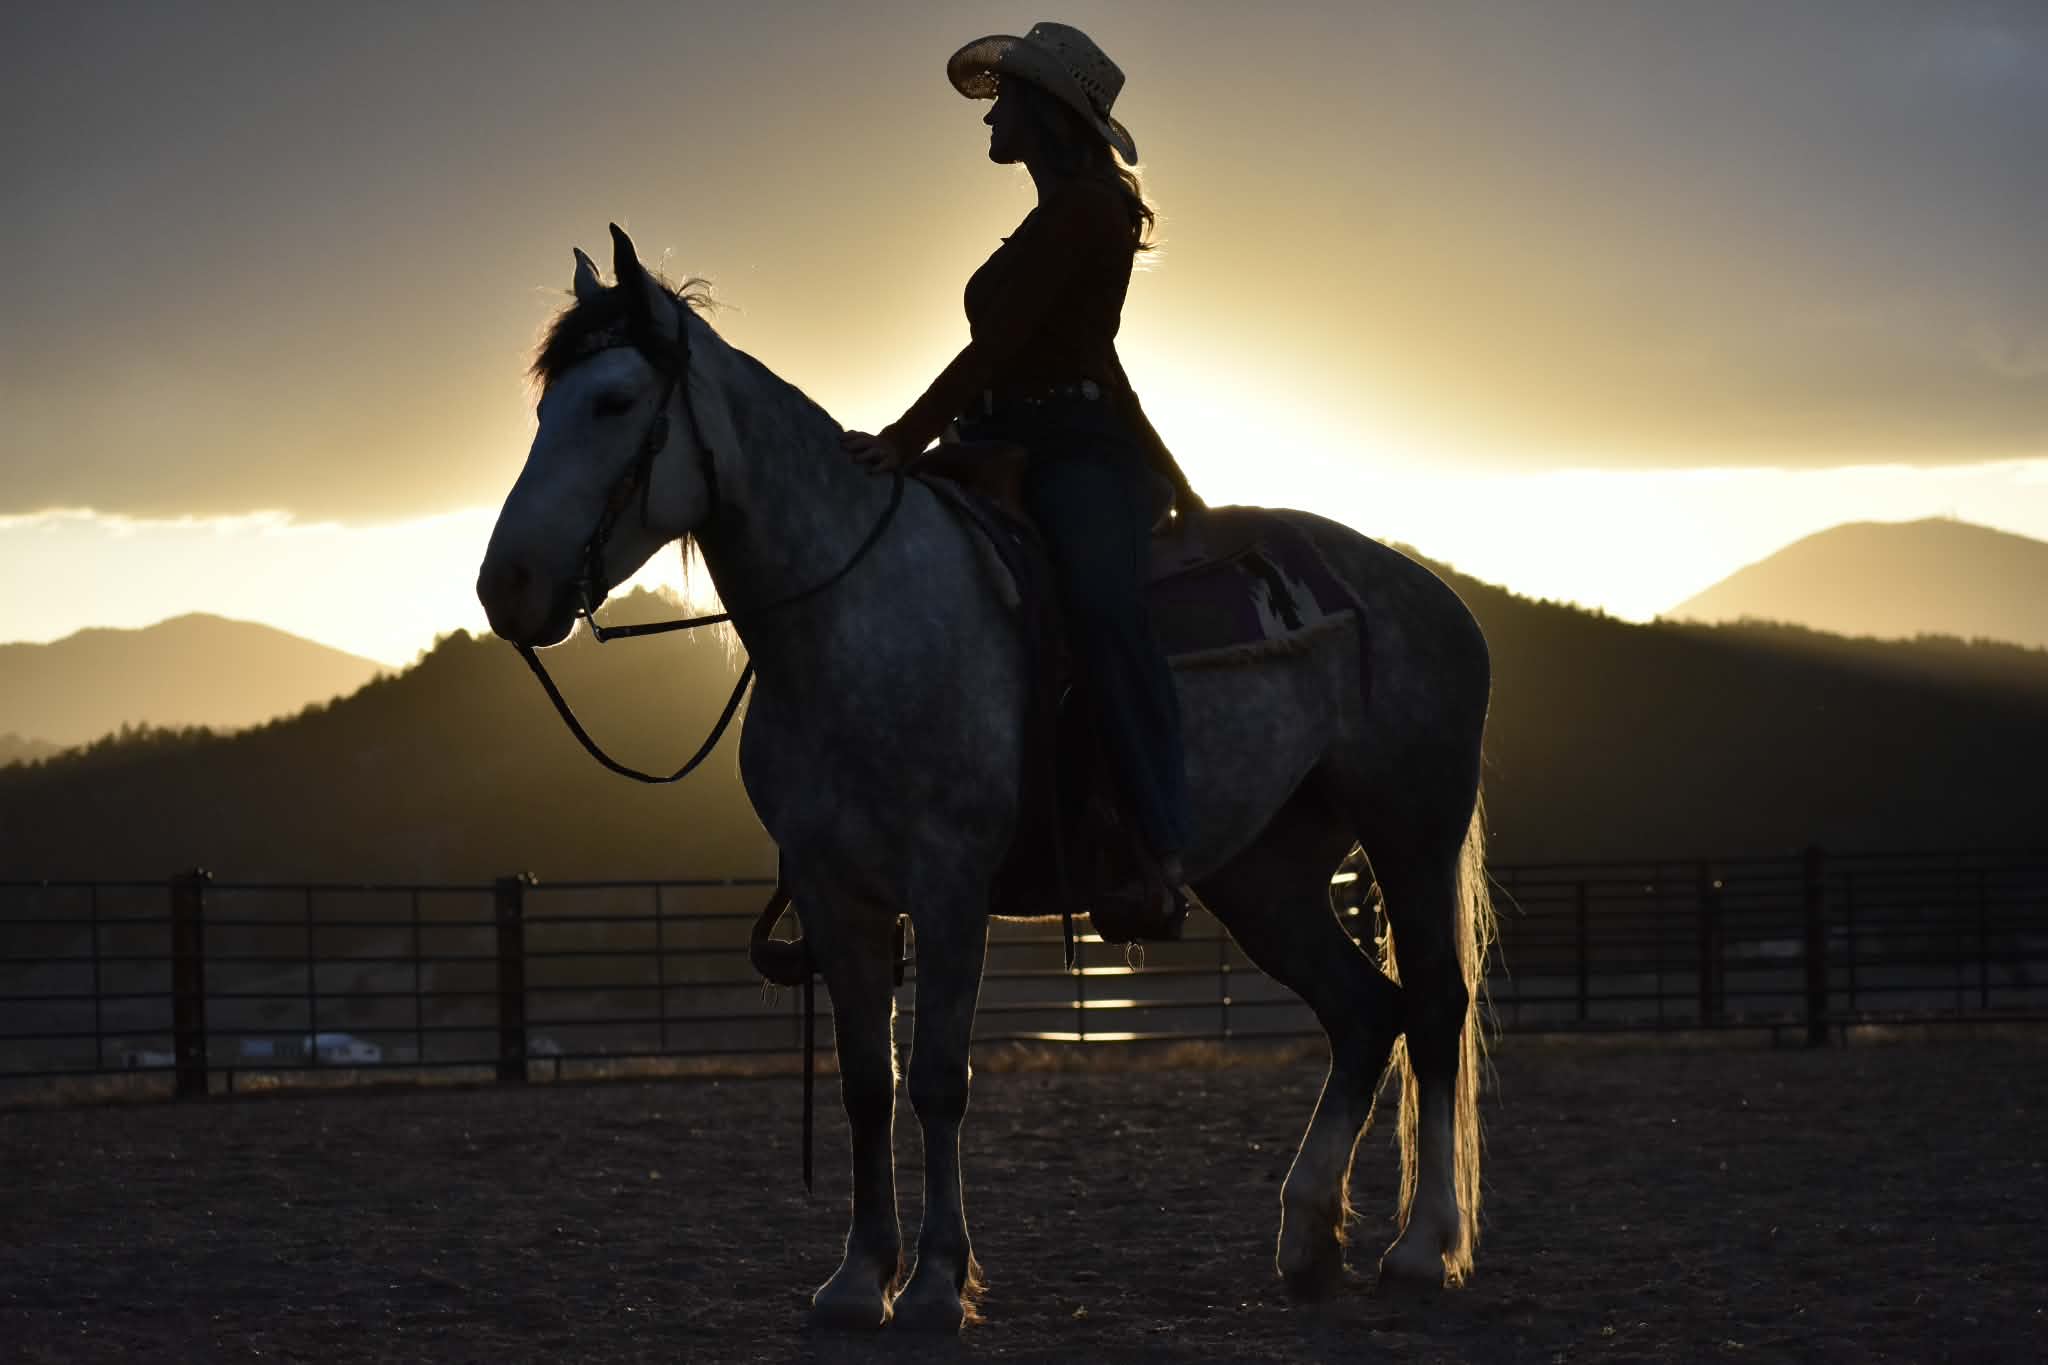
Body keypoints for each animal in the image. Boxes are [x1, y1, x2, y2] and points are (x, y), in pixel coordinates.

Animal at [476, 225, 1495, 1332]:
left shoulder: (950, 885)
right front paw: (856, 1278)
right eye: (540, 407)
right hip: (1264, 876)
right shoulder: (837, 892)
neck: (851, 614)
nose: (504, 586)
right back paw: (1308, 1243)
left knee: (1434, 1006)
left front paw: (932, 1282)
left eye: (614, 401)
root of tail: (1426, 591)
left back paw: (1419, 1249)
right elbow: (865, 1086)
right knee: (1364, 1012)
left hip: (1411, 832)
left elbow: (937, 1079)